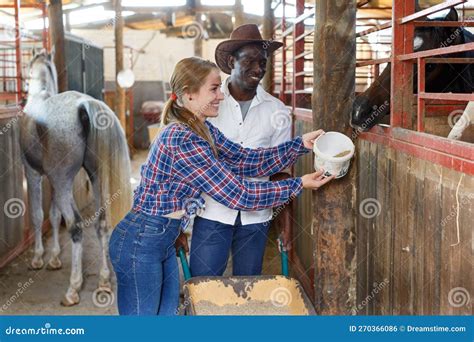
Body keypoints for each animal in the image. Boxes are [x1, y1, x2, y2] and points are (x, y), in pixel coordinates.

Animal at [20, 47, 131, 304]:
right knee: (101, 224)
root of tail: (84, 104)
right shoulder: (54, 182)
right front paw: (54, 258)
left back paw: (73, 289)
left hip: (62, 182)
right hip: (94, 179)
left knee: (76, 226)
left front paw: (39, 258)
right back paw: (103, 281)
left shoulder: (34, 174)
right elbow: (53, 215)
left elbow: (38, 215)